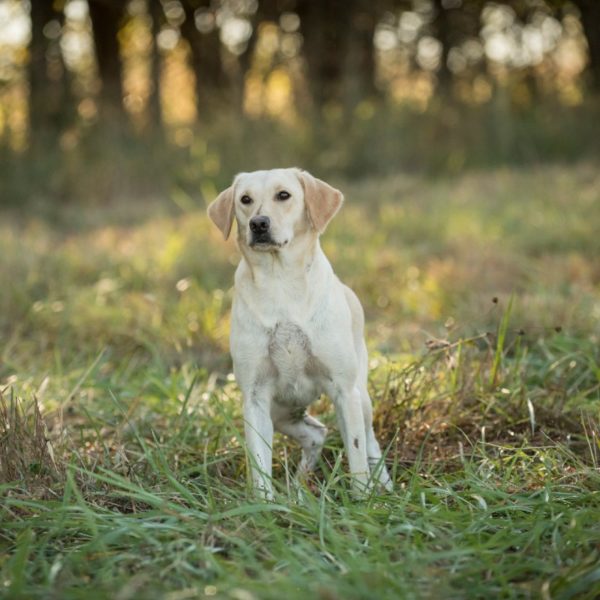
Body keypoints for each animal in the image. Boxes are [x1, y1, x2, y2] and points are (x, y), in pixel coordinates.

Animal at [207, 168, 394, 496]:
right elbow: (259, 463)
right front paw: (266, 503)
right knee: (316, 433)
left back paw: (383, 484)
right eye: (245, 199)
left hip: (361, 397)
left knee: (369, 441)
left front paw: (363, 499)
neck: (279, 281)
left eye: (284, 195)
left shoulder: (344, 391)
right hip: (281, 413)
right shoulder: (254, 398)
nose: (259, 223)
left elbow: (357, 455)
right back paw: (298, 489)